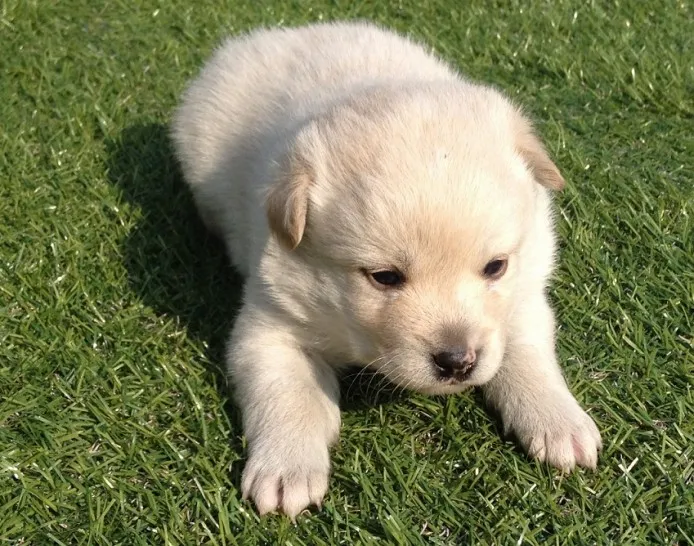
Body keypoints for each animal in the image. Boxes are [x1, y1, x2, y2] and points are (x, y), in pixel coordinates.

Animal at [171, 20, 600, 516]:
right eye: (385, 277)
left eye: (496, 267)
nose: (458, 362)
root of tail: (282, 33)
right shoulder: (271, 323)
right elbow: (287, 392)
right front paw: (286, 468)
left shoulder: (527, 294)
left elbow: (528, 355)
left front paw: (559, 422)